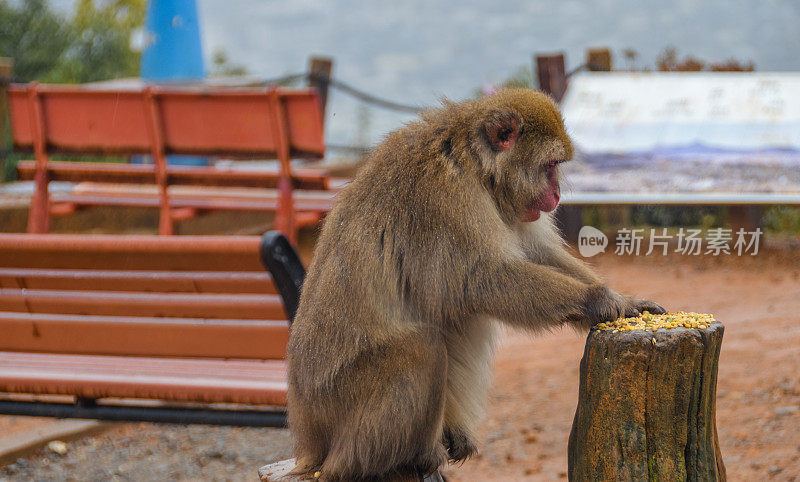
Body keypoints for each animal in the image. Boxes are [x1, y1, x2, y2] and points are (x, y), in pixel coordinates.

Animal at [286, 88, 664, 480]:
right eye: (550, 167)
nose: (557, 194)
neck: (475, 163)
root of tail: (309, 437)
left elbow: (535, 253)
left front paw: (627, 300)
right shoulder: (445, 196)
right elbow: (482, 278)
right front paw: (599, 300)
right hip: (339, 403)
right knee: (424, 347)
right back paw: (408, 456)